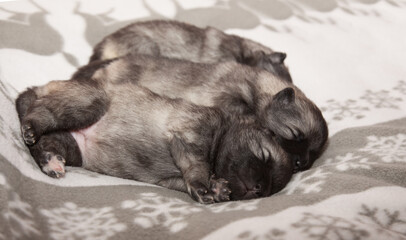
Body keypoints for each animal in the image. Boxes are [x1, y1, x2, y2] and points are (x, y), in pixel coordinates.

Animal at [15, 59, 292, 203]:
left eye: (271, 189)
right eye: (265, 155)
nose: (259, 189)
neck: (224, 129)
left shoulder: (168, 180)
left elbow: (185, 179)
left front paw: (216, 188)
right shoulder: (190, 135)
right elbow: (196, 165)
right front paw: (205, 184)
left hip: (71, 147)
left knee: (45, 145)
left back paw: (51, 161)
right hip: (88, 102)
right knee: (43, 111)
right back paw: (33, 126)